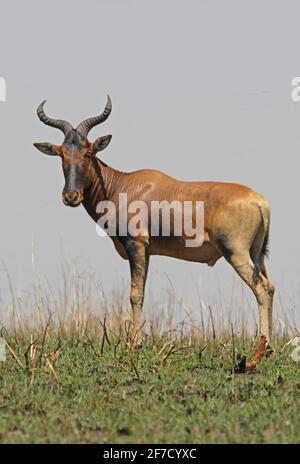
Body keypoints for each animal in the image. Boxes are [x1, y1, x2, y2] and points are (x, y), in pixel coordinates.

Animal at [34, 95, 276, 370]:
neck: (123, 185)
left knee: (261, 288)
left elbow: (135, 294)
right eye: (62, 153)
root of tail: (259, 201)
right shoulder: (147, 251)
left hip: (235, 253)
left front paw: (134, 345)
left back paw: (257, 354)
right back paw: (269, 349)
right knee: (271, 286)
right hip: (257, 255)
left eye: (88, 152)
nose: (71, 196)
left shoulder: (135, 245)